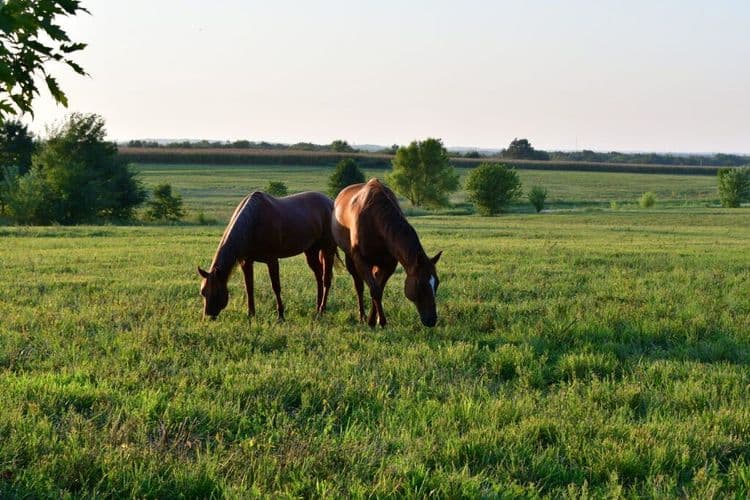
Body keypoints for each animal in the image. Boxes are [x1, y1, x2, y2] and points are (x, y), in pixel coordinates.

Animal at [198, 191, 337, 320]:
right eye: (203, 292)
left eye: (216, 293)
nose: (208, 317)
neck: (253, 222)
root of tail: (330, 202)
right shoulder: (246, 262)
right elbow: (249, 287)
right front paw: (251, 315)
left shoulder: (272, 260)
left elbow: (276, 287)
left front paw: (280, 316)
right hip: (311, 251)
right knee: (318, 276)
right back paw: (317, 308)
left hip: (328, 249)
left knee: (326, 279)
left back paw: (322, 310)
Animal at [332, 178, 442, 327]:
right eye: (420, 284)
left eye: (437, 282)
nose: (431, 320)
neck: (375, 219)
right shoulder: (361, 260)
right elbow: (374, 290)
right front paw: (378, 321)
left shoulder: (388, 264)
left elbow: (379, 289)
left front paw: (375, 319)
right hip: (350, 258)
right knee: (359, 286)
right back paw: (362, 316)